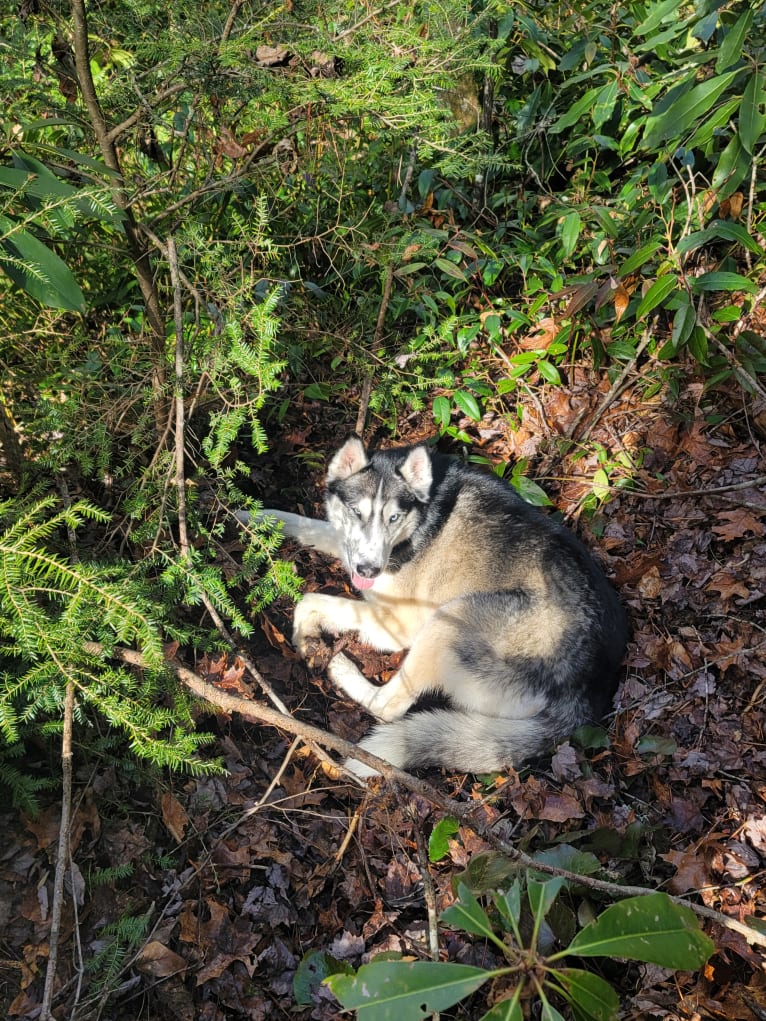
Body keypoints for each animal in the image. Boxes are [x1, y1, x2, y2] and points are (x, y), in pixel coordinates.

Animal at [252, 434, 629, 775]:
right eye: (356, 512)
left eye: (393, 518)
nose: (369, 570)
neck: (422, 521)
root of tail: (587, 695)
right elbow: (301, 523)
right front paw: (252, 517)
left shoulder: (396, 625)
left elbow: (309, 601)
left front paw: (305, 638)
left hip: (449, 619)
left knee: (387, 706)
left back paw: (341, 669)